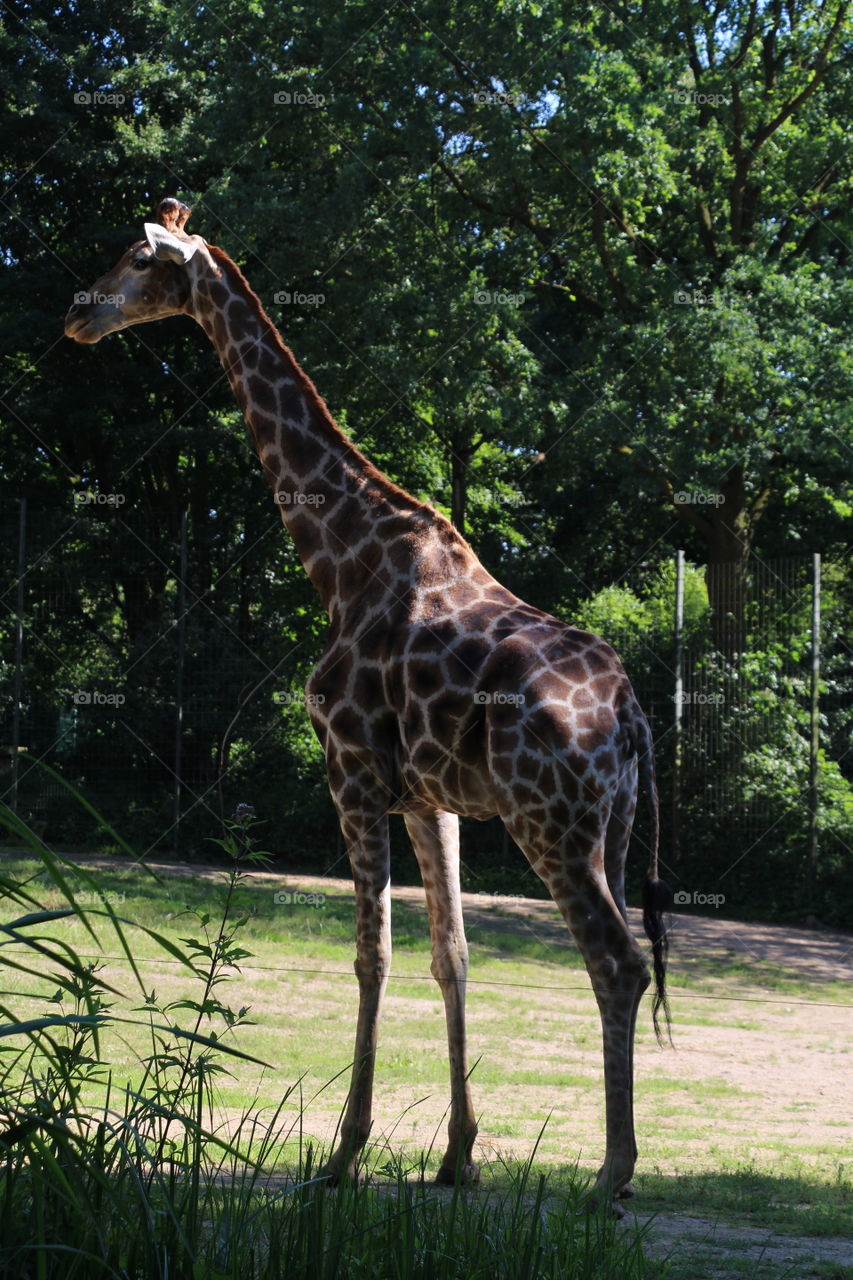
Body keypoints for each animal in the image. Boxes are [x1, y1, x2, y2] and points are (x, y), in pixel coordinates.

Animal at [65, 197, 672, 1211]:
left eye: (139, 257)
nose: (78, 309)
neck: (339, 560)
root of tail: (628, 717)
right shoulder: (430, 799)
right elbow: (449, 955)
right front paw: (457, 1156)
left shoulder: (348, 769)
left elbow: (370, 955)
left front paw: (342, 1156)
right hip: (611, 829)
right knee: (620, 955)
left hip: (550, 822)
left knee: (616, 964)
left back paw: (611, 1176)